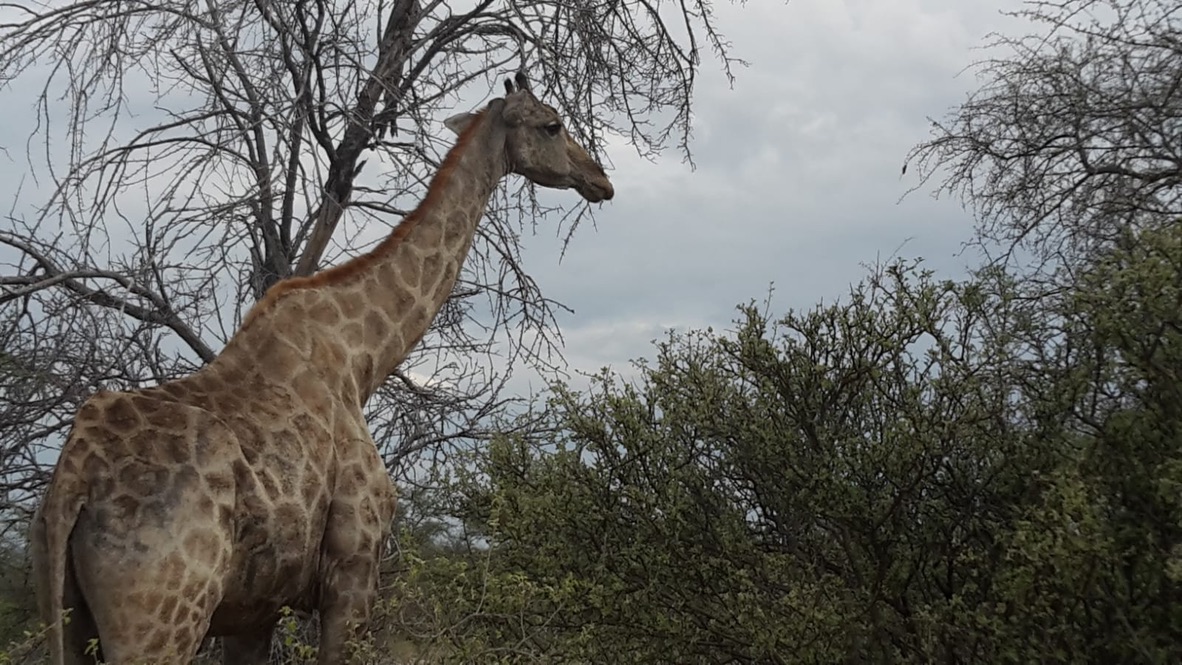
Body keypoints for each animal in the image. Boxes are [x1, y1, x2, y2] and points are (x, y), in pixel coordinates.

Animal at [30, 71, 613, 665]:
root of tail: (74, 477)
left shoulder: (254, 609)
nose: (601, 179)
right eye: (553, 124)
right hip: (161, 621)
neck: (361, 359)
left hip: (68, 616)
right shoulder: (353, 571)